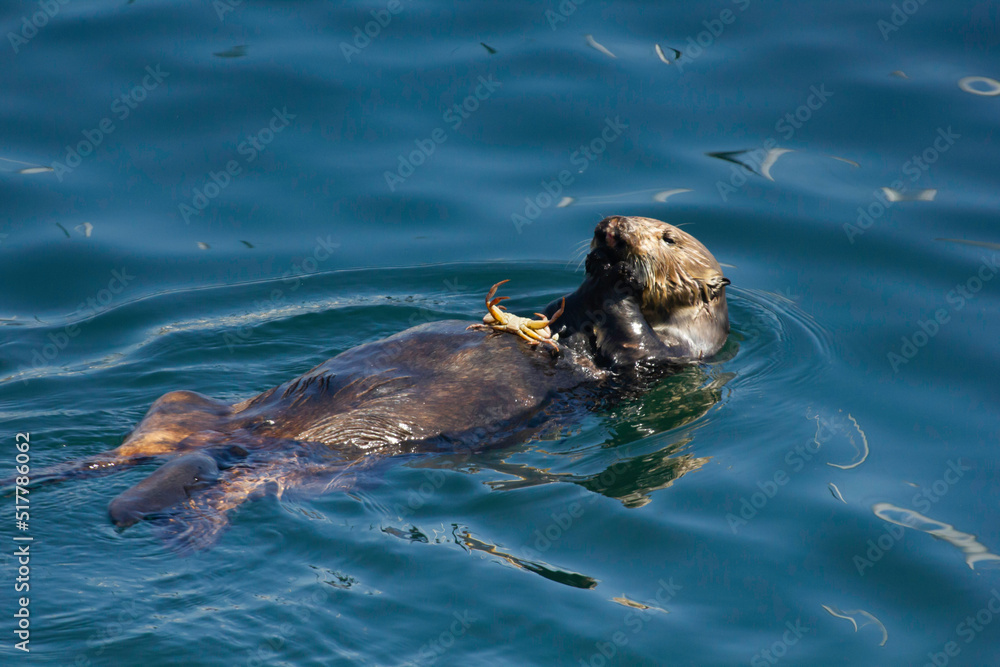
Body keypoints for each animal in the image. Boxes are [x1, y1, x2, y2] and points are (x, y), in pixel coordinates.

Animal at [36, 216, 729, 548]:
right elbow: (560, 311)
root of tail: (248, 439)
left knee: (235, 483)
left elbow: (632, 343)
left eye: (668, 236)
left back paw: (182, 528)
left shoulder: (661, 363)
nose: (610, 229)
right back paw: (61, 471)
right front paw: (590, 270)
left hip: (307, 462)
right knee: (161, 433)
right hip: (206, 410)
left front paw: (617, 279)